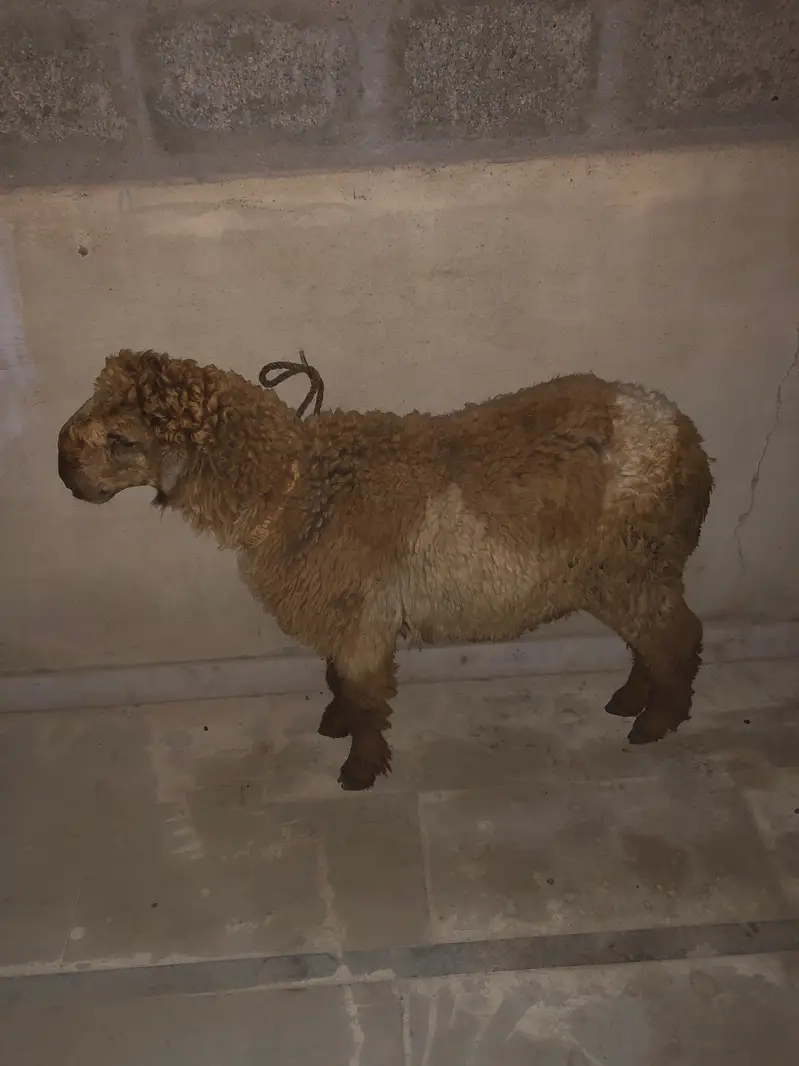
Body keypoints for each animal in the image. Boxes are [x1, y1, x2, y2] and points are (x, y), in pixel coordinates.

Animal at [58, 349, 713, 791]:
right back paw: (629, 700)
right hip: (621, 572)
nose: (64, 470)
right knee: (648, 640)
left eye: (121, 439)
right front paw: (334, 725)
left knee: (678, 637)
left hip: (636, 563)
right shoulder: (340, 609)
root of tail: (686, 436)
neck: (297, 487)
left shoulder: (362, 616)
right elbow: (335, 680)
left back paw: (656, 722)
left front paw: (360, 767)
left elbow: (365, 693)